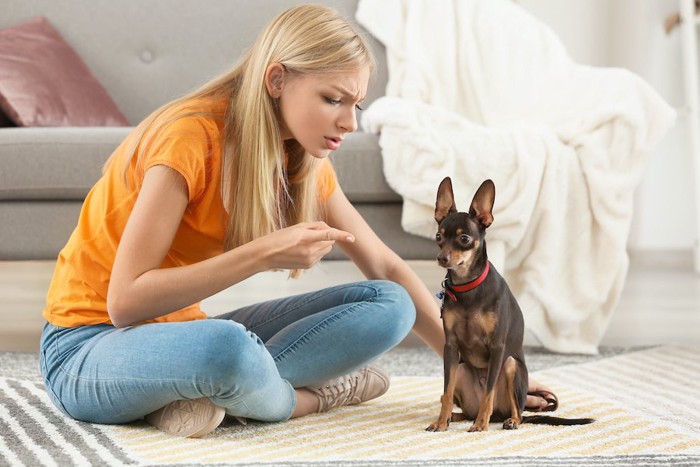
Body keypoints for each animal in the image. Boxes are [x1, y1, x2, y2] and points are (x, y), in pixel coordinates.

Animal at [424, 177, 592, 434]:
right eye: (438, 237)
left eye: (464, 239)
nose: (442, 258)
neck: (467, 287)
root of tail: (499, 415)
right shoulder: (450, 347)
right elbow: (446, 392)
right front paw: (441, 422)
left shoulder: (497, 347)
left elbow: (489, 393)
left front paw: (480, 425)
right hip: (461, 368)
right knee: (465, 408)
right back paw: (455, 416)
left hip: (512, 366)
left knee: (517, 412)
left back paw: (504, 420)